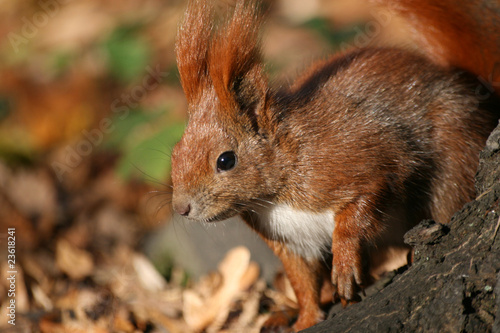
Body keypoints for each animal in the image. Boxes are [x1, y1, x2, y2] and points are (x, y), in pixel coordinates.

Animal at [171, 0, 500, 330]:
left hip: (454, 161)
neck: (274, 196)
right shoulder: (290, 241)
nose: (181, 208)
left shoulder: (358, 156)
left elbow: (368, 197)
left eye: (226, 160)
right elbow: (302, 281)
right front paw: (305, 319)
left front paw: (344, 261)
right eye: (174, 154)